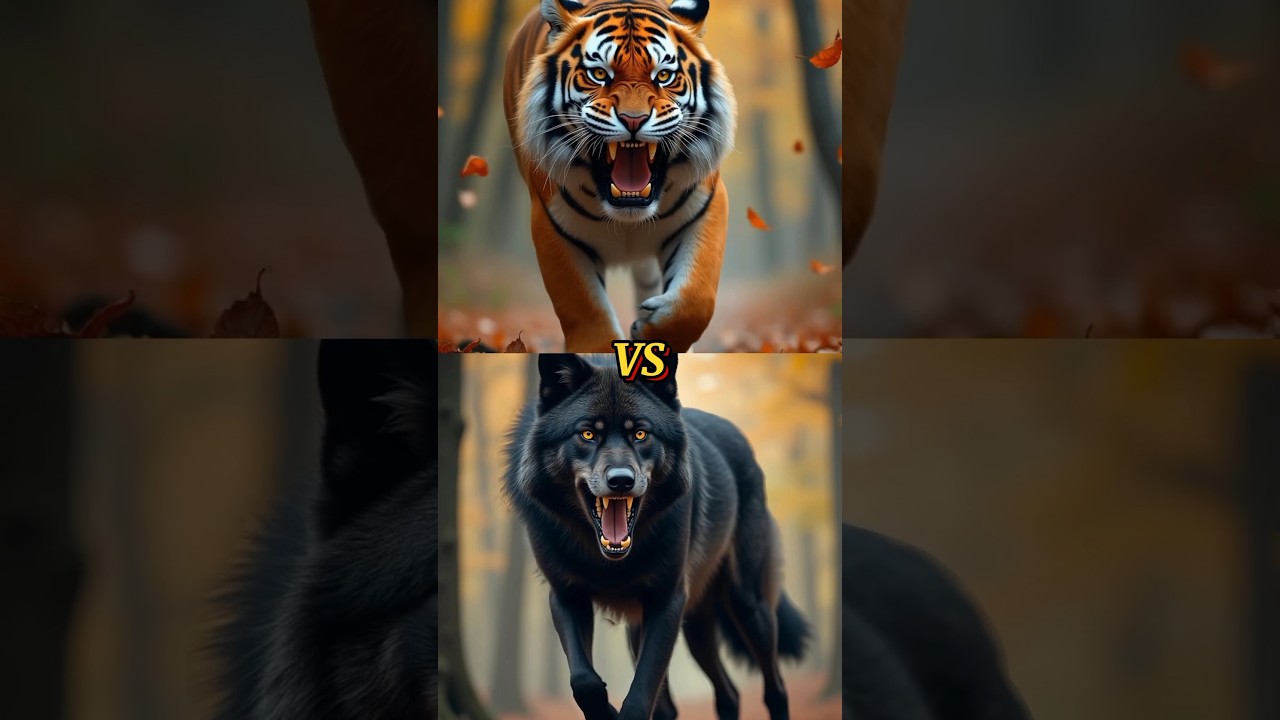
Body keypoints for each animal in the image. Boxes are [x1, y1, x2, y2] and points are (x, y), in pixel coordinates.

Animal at [503, 0, 737, 353]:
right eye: (599, 74)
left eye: (664, 76)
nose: (633, 119)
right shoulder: (551, 225)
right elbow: (584, 309)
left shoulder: (706, 205)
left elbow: (696, 300)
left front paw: (650, 331)